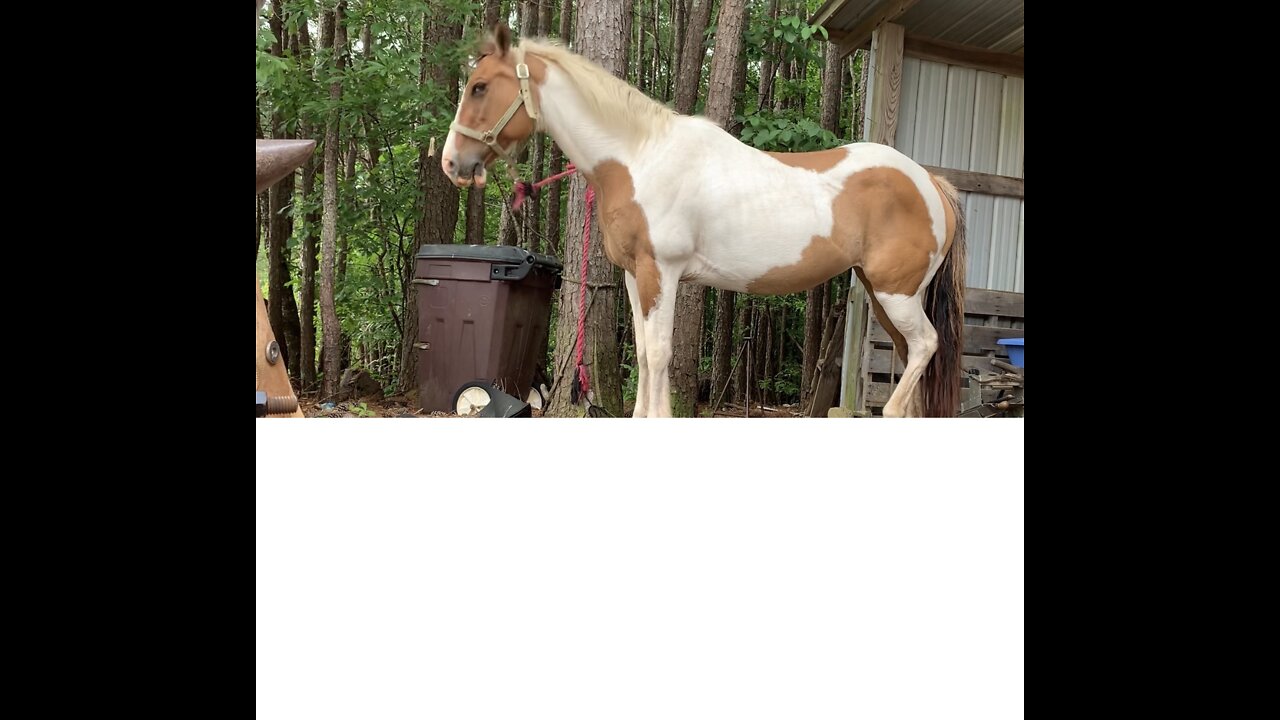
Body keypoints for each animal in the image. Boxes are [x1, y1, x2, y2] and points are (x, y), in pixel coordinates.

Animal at [440, 25, 962, 417]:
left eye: (480, 87)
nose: (450, 163)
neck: (640, 156)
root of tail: (931, 183)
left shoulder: (662, 273)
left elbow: (658, 354)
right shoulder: (634, 277)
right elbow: (645, 357)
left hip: (895, 294)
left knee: (923, 348)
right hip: (883, 294)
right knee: (913, 358)